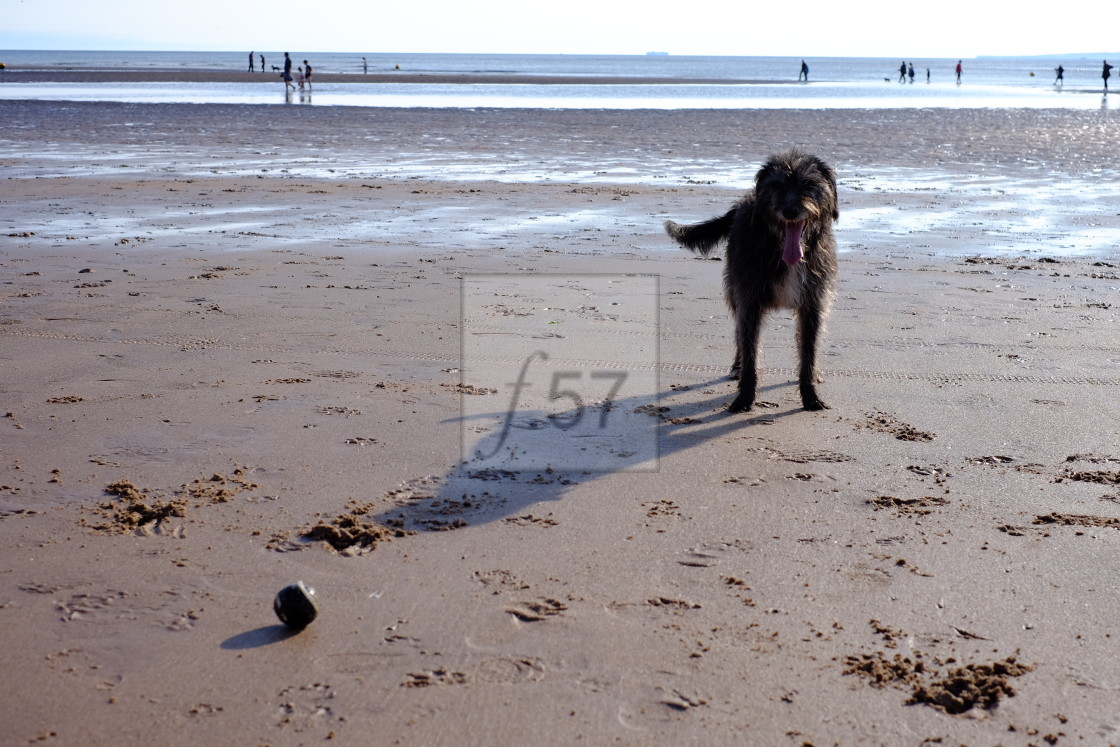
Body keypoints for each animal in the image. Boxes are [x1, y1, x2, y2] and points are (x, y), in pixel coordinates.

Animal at [658, 147, 837, 412]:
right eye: (777, 185)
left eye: (809, 184)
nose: (790, 211)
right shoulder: (749, 302)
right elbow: (750, 350)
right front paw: (744, 398)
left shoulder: (813, 305)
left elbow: (809, 351)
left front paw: (811, 397)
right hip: (734, 290)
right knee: (738, 334)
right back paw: (736, 367)